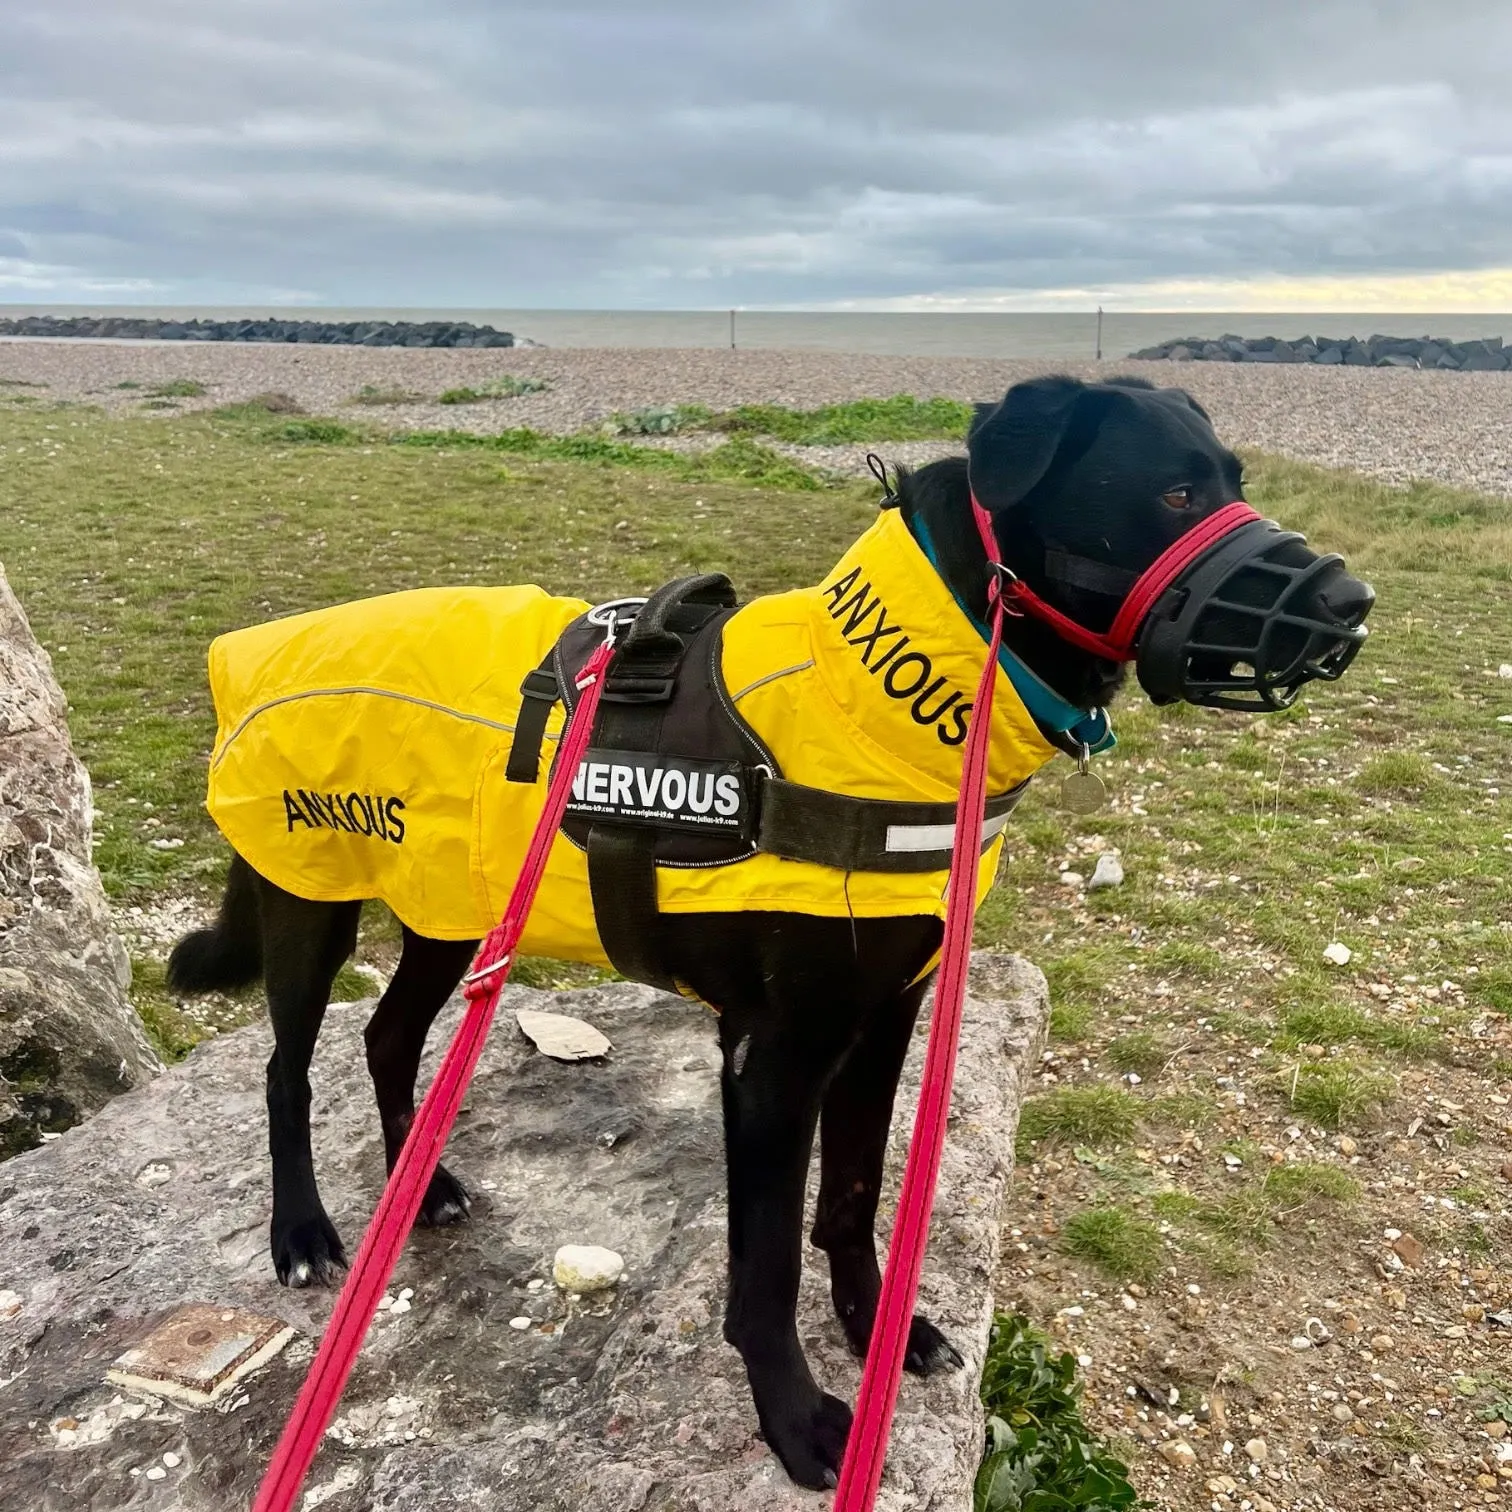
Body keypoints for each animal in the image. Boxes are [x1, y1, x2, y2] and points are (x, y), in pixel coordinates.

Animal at [168, 378, 1372, 1487]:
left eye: (1236, 478)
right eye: (1174, 492)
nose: (1353, 601)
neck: (883, 700)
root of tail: (255, 650)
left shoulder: (885, 1022)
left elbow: (850, 1200)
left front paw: (878, 1332)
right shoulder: (772, 1060)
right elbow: (765, 1272)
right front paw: (794, 1419)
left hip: (453, 905)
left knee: (388, 1036)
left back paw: (425, 1188)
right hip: (313, 901)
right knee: (286, 1067)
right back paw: (304, 1232)